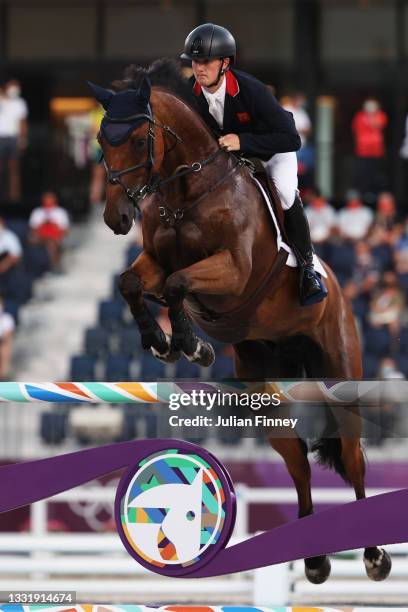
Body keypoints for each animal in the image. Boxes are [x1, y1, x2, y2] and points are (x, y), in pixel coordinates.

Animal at [90, 59, 392, 584]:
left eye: (139, 137)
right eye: (102, 141)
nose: (116, 217)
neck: (186, 191)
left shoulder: (231, 272)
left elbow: (178, 286)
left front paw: (191, 345)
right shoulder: (155, 262)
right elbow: (133, 284)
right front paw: (163, 342)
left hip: (340, 371)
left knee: (352, 458)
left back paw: (373, 555)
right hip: (266, 395)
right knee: (299, 465)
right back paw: (314, 560)